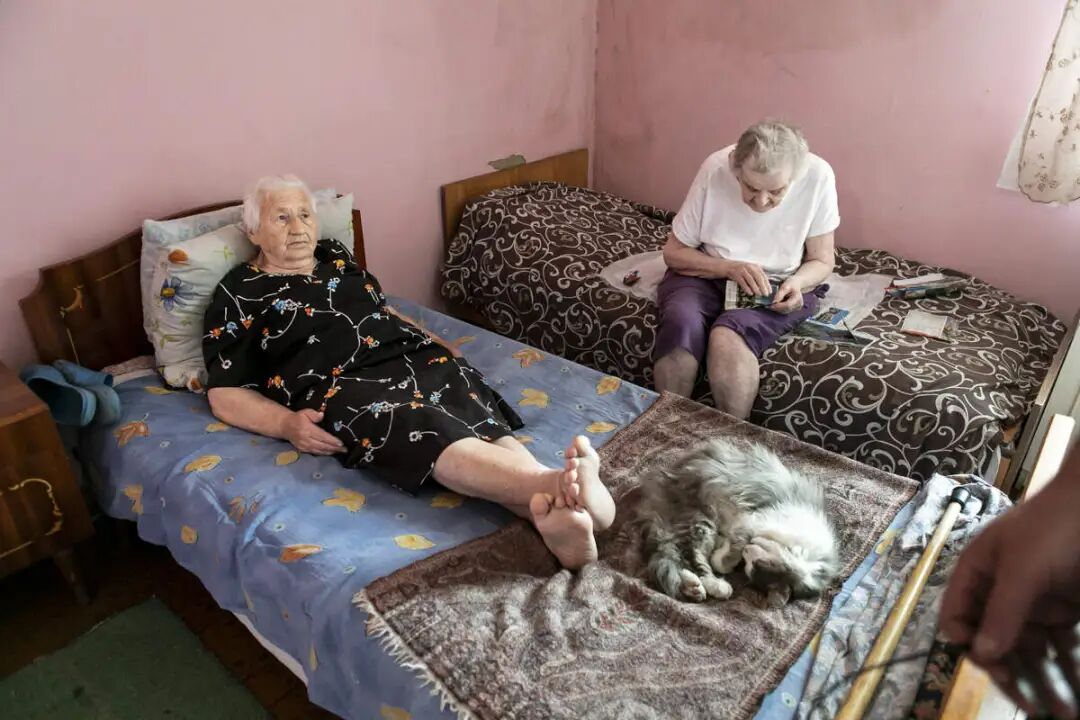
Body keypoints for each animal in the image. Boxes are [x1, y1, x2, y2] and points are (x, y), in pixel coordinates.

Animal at [639, 438, 840, 606]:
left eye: (754, 567)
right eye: (758, 564)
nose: (748, 551)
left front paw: (722, 553)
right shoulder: (751, 521)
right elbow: (727, 557)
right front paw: (723, 558)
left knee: (680, 559)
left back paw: (695, 587)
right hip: (702, 521)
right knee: (693, 557)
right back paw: (714, 586)